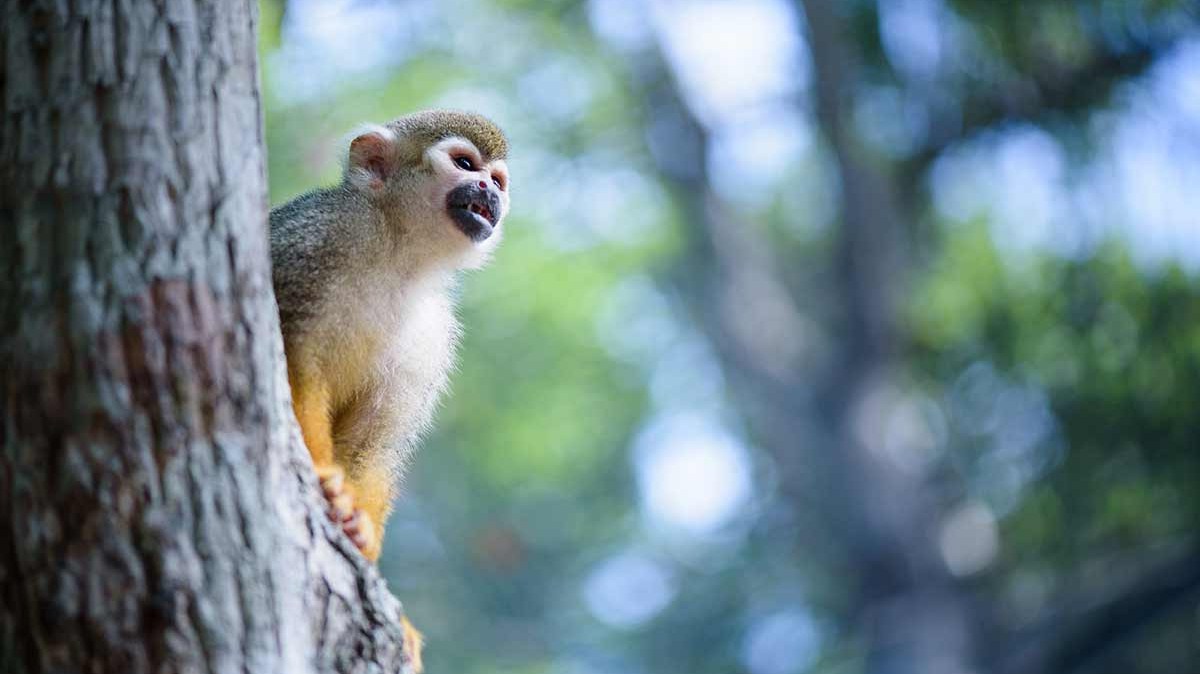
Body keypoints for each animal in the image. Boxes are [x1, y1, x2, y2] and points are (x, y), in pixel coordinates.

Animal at [269, 110, 510, 672]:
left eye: (498, 180)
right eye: (466, 164)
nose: (489, 191)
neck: (397, 250)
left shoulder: (433, 334)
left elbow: (374, 438)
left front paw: (360, 535)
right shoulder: (313, 236)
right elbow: (291, 358)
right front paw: (325, 481)